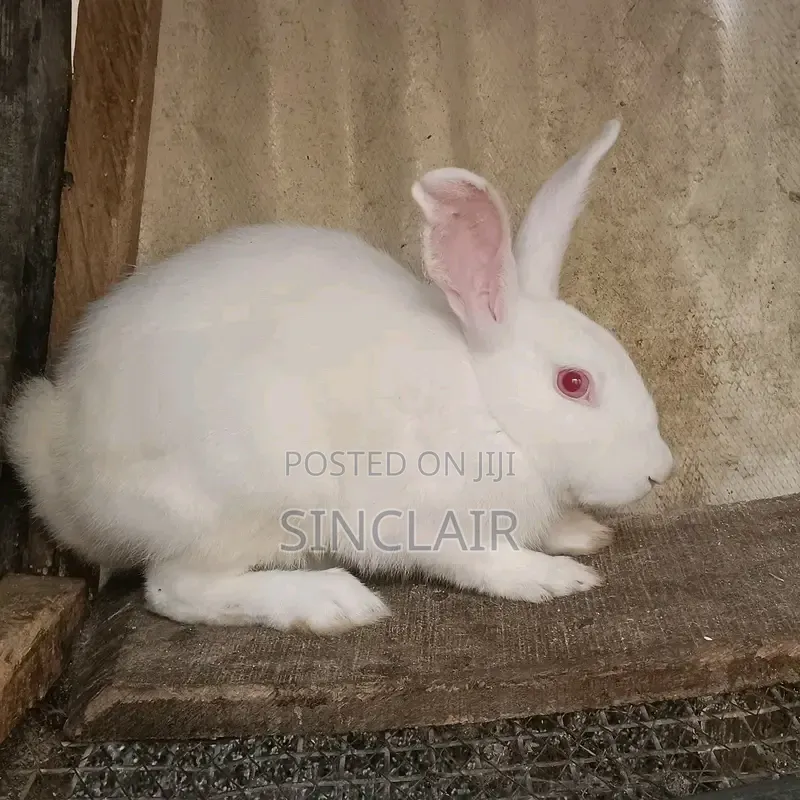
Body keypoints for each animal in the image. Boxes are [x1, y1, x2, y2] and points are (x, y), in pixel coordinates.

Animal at [3, 119, 673, 634]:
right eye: (573, 383)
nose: (659, 472)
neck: (491, 409)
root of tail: (63, 471)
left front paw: (582, 534)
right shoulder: (426, 515)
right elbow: (482, 559)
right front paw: (554, 578)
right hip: (243, 502)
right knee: (175, 587)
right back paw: (331, 602)